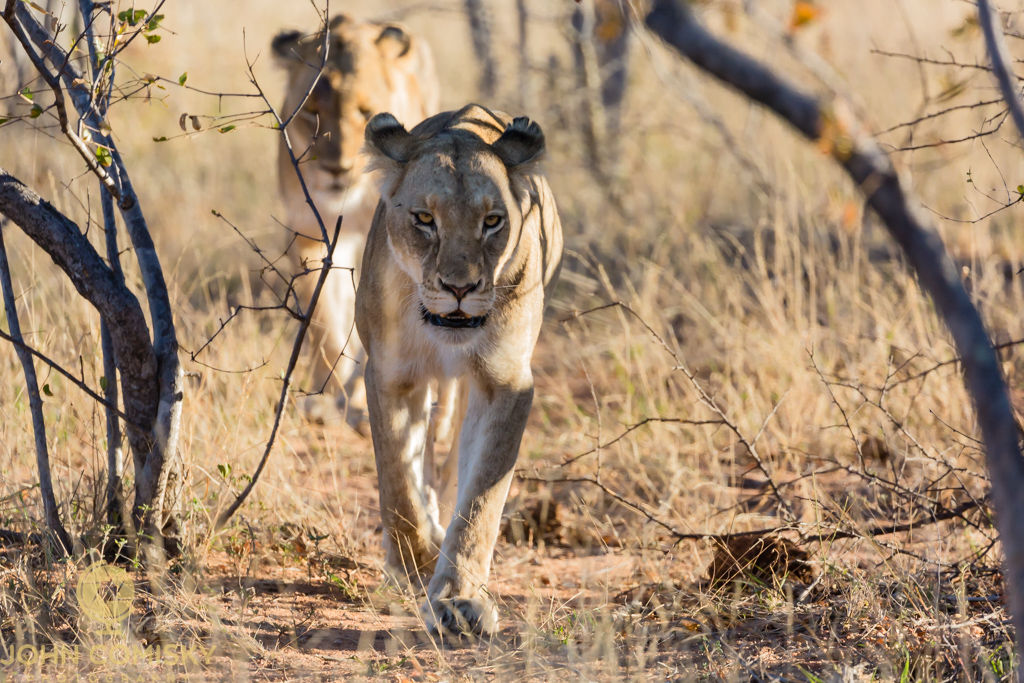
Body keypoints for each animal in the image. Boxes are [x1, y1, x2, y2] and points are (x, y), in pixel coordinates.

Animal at [272, 15, 439, 427]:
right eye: (311, 112)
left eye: (366, 113)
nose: (337, 169)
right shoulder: (309, 233)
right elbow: (321, 321)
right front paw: (325, 398)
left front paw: (361, 401)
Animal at [356, 104, 563, 637]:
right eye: (425, 219)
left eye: (492, 221)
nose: (459, 288)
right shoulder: (390, 374)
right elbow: (397, 484)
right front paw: (415, 564)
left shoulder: (506, 382)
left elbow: (481, 498)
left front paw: (458, 599)